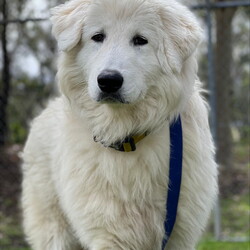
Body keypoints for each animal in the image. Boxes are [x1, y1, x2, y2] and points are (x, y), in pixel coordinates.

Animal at [21, 0, 217, 249]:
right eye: (98, 37)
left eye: (140, 40)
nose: (108, 81)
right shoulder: (110, 231)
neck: (126, 135)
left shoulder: (179, 232)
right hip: (55, 229)